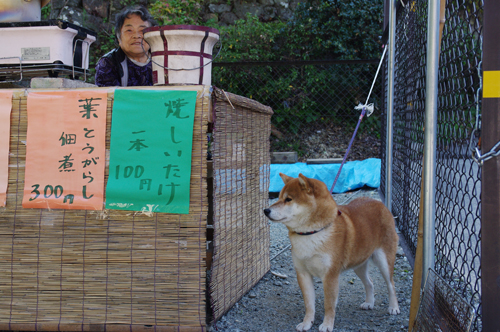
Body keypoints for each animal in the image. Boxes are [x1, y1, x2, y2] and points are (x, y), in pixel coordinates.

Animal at [264, 174, 400, 332]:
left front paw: (327, 325)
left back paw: (394, 307)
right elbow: (309, 304)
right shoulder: (303, 273)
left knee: (391, 284)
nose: (265, 210)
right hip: (359, 264)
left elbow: (329, 304)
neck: (311, 233)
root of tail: (380, 204)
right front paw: (307, 323)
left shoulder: (330, 275)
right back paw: (369, 303)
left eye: (288, 199)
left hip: (384, 260)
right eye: (279, 197)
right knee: (370, 283)